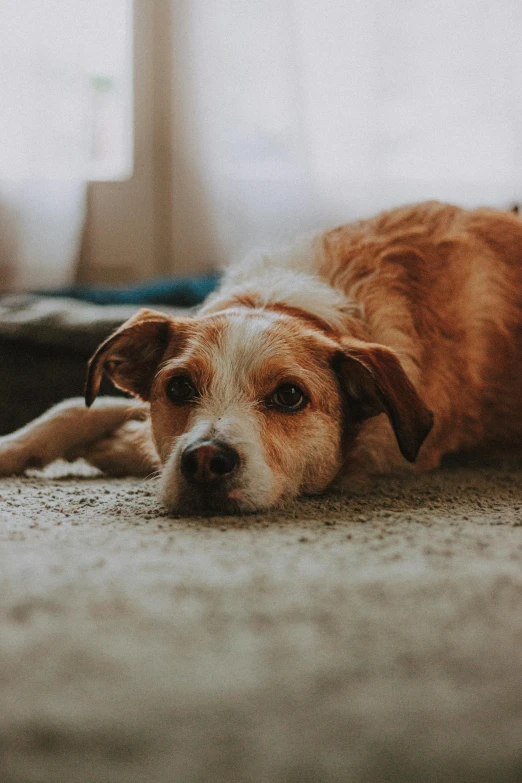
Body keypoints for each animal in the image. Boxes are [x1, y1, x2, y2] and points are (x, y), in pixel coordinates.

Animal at [1, 201, 520, 516]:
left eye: (289, 396)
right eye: (179, 387)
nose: (205, 461)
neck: (277, 300)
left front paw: (115, 446)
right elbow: (78, 406)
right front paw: (15, 446)